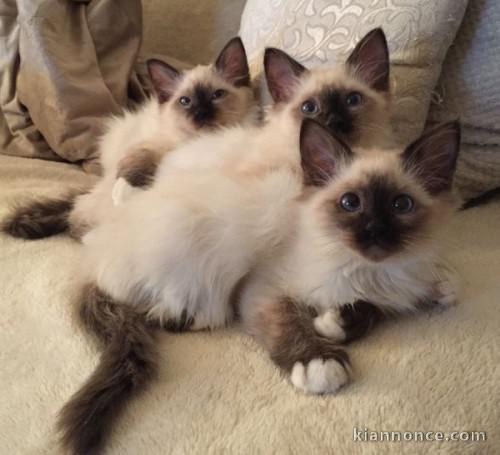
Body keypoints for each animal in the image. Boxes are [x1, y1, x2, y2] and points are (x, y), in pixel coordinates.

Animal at [1, 36, 256, 239]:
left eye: (217, 95)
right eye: (186, 101)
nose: (201, 114)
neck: (193, 142)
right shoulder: (151, 146)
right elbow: (134, 168)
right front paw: (125, 194)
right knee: (77, 214)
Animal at [238, 119, 460, 398]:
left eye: (401, 205)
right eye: (350, 202)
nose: (375, 229)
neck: (366, 270)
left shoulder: (393, 291)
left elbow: (375, 307)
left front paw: (332, 324)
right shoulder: (263, 288)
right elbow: (289, 322)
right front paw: (318, 362)